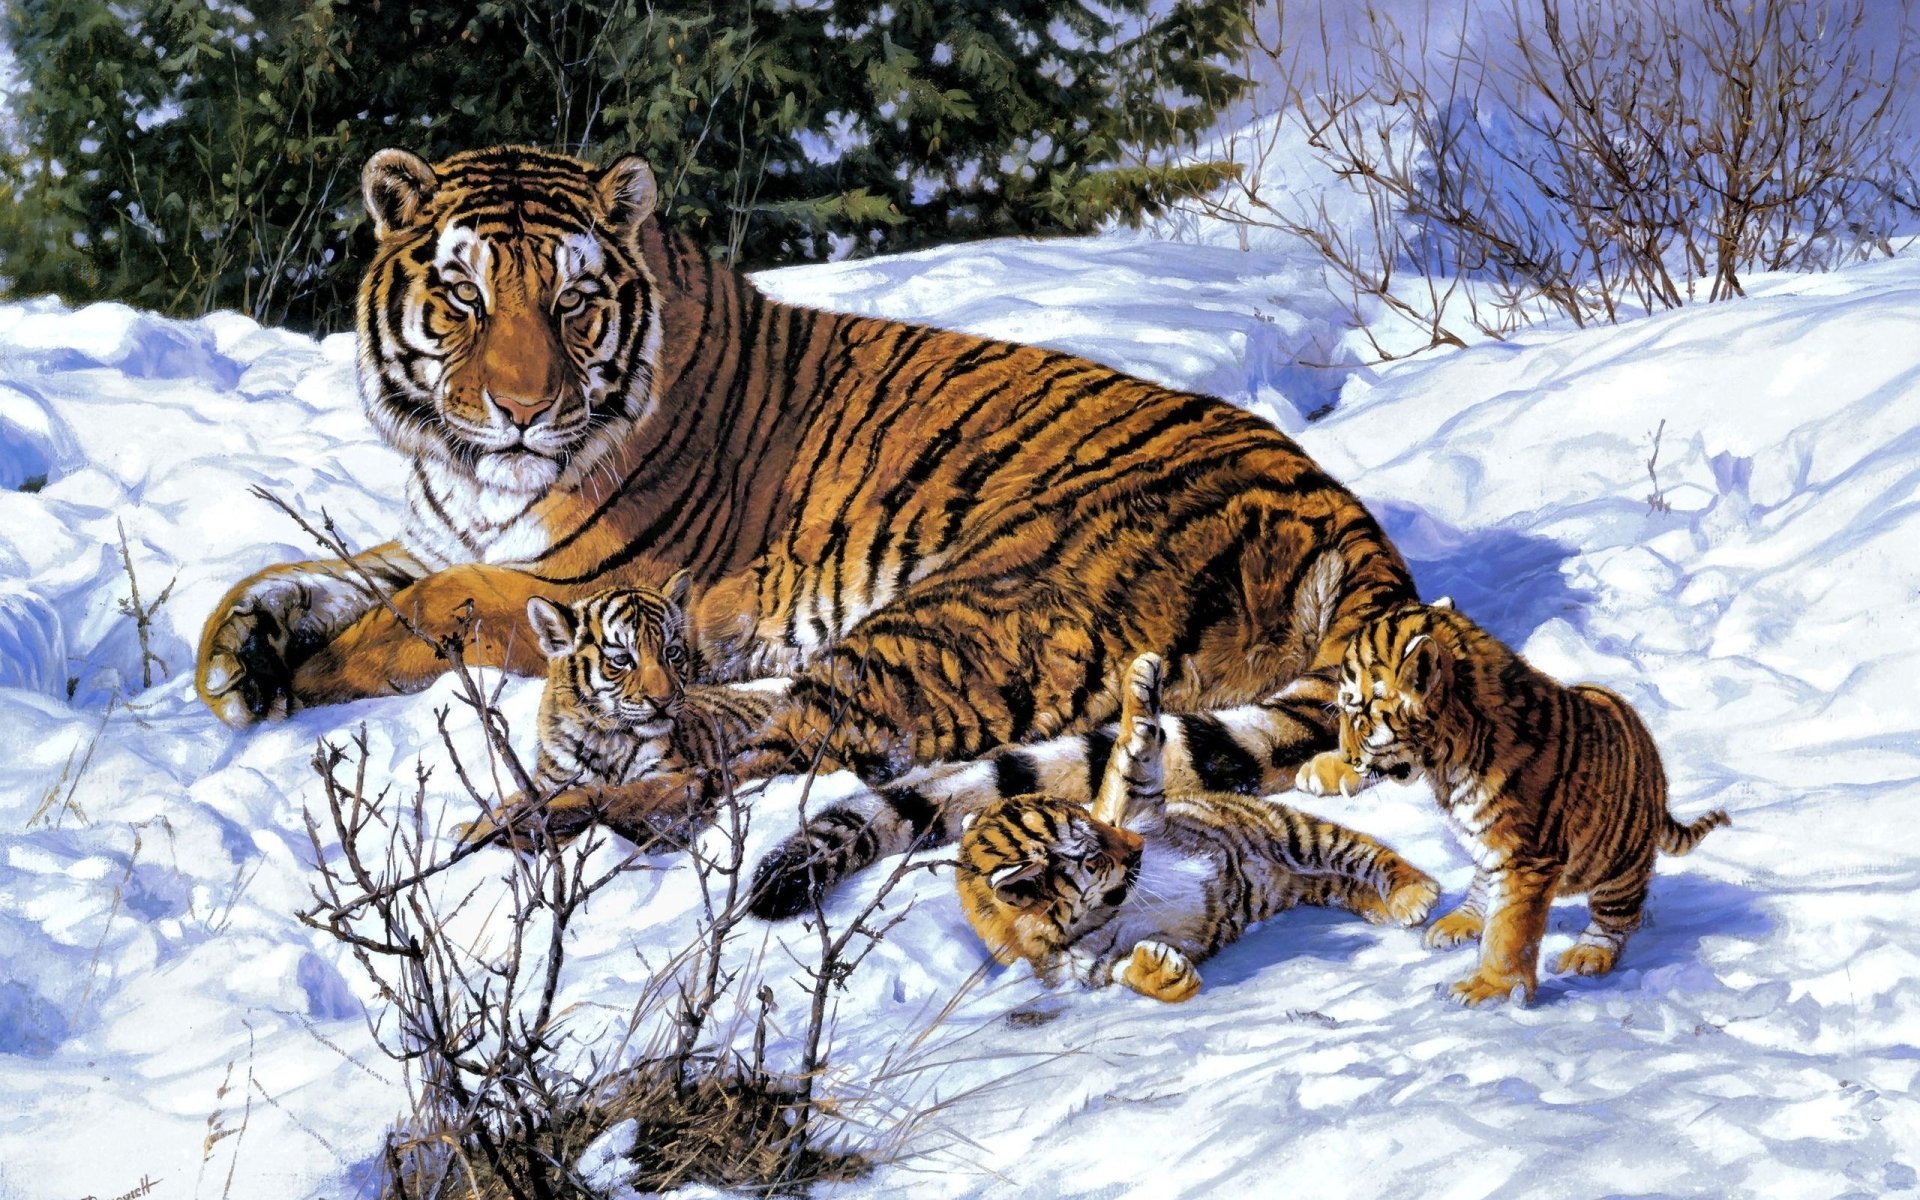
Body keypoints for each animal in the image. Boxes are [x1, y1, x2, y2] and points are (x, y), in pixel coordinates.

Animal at [520, 572, 781, 810]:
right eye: (622, 659)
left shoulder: (668, 774)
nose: (663, 700)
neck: (604, 742)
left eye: (671, 652)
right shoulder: (554, 781)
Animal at [955, 653, 1439, 1002]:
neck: (1108, 908)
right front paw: (1161, 971)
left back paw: (1413, 894)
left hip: (1292, 833)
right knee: (1351, 878)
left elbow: (1128, 754)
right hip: (1309, 874)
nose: (1136, 846)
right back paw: (1393, 907)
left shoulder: (1135, 807)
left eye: (1092, 821)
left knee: (1370, 854)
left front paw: (1140, 677)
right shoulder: (1090, 966)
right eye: (1091, 858)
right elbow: (1127, 974)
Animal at [1293, 600, 1731, 1006]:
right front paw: (1323, 770)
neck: (1445, 761)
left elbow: (1510, 930)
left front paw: (1489, 988)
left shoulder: (1528, 859)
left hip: (1620, 865)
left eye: (1355, 711)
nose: (1347, 754)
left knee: (1617, 917)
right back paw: (1457, 922)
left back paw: (1588, 954)